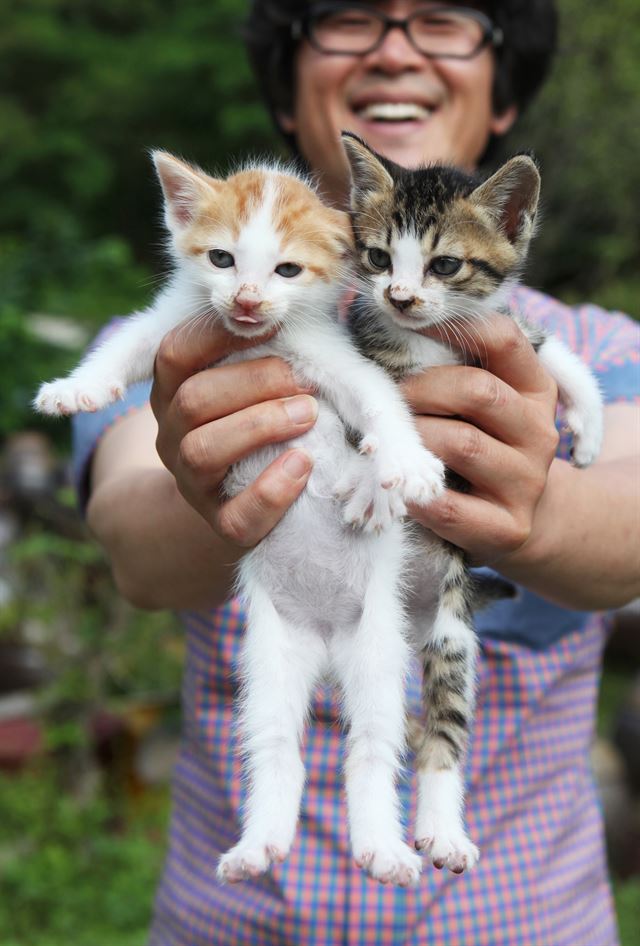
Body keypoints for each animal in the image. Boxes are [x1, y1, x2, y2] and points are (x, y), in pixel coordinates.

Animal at [32, 149, 450, 884]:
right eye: (222, 259)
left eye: (287, 270)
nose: (249, 300)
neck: (255, 341)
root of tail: (327, 643)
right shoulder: (172, 320)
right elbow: (123, 343)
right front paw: (74, 388)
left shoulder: (331, 355)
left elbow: (378, 401)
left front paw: (405, 465)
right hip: (268, 659)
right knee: (277, 745)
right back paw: (260, 847)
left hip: (378, 652)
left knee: (370, 747)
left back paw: (382, 848)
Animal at [342, 131, 604, 872]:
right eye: (379, 258)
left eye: (445, 264)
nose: (400, 296)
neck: (428, 339)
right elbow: (362, 408)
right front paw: (378, 476)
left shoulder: (498, 333)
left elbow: (545, 349)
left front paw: (590, 424)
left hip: (453, 632)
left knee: (446, 724)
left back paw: (442, 828)